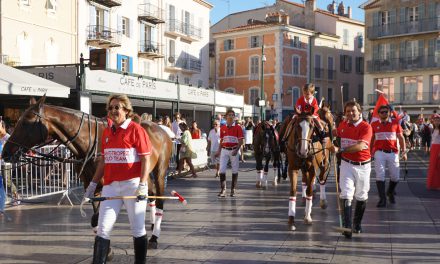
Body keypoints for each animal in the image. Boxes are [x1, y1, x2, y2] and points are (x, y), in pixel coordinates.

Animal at [2, 96, 174, 249]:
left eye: (26, 122)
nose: (5, 152)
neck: (91, 144)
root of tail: (162, 130)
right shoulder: (92, 186)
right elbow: (95, 220)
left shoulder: (104, 188)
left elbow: (98, 218)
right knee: (151, 193)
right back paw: (152, 224)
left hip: (159, 171)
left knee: (160, 200)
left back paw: (154, 237)